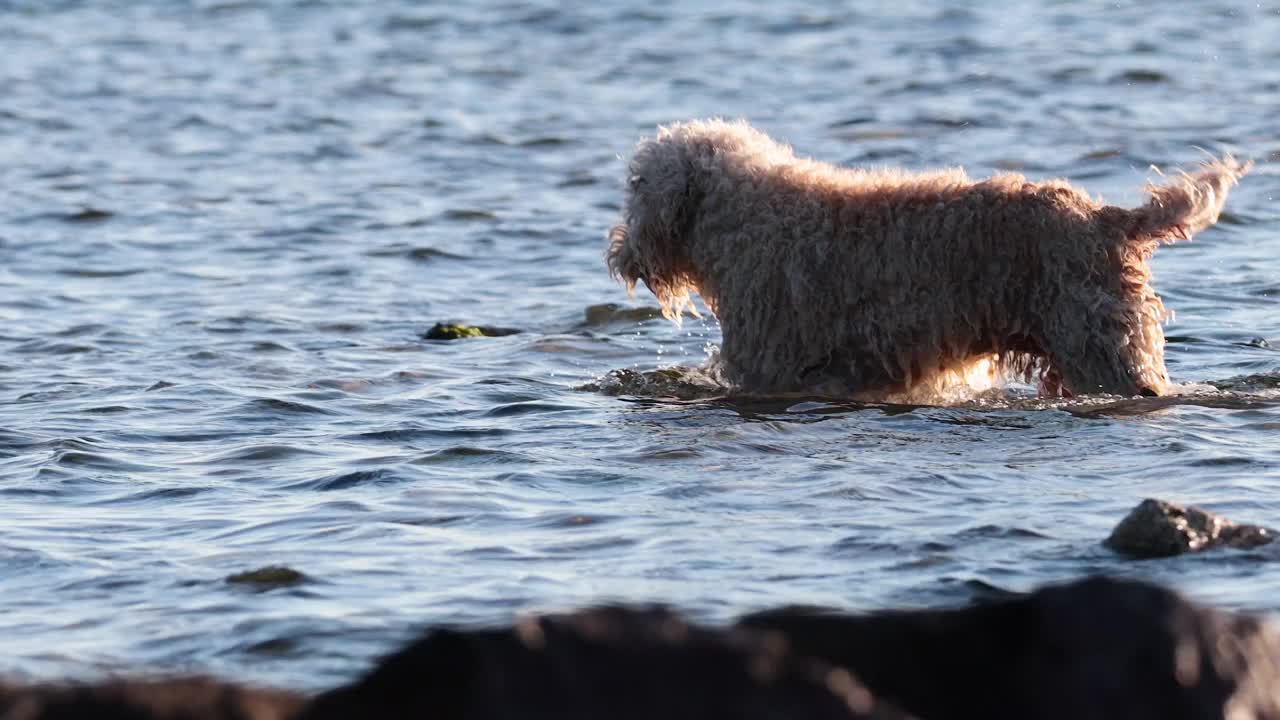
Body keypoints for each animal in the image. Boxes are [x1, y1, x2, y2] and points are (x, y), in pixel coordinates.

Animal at [609, 118, 1249, 397]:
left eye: (637, 183)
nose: (618, 254)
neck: (746, 215)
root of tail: (1106, 216)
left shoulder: (768, 364)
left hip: (1101, 348)